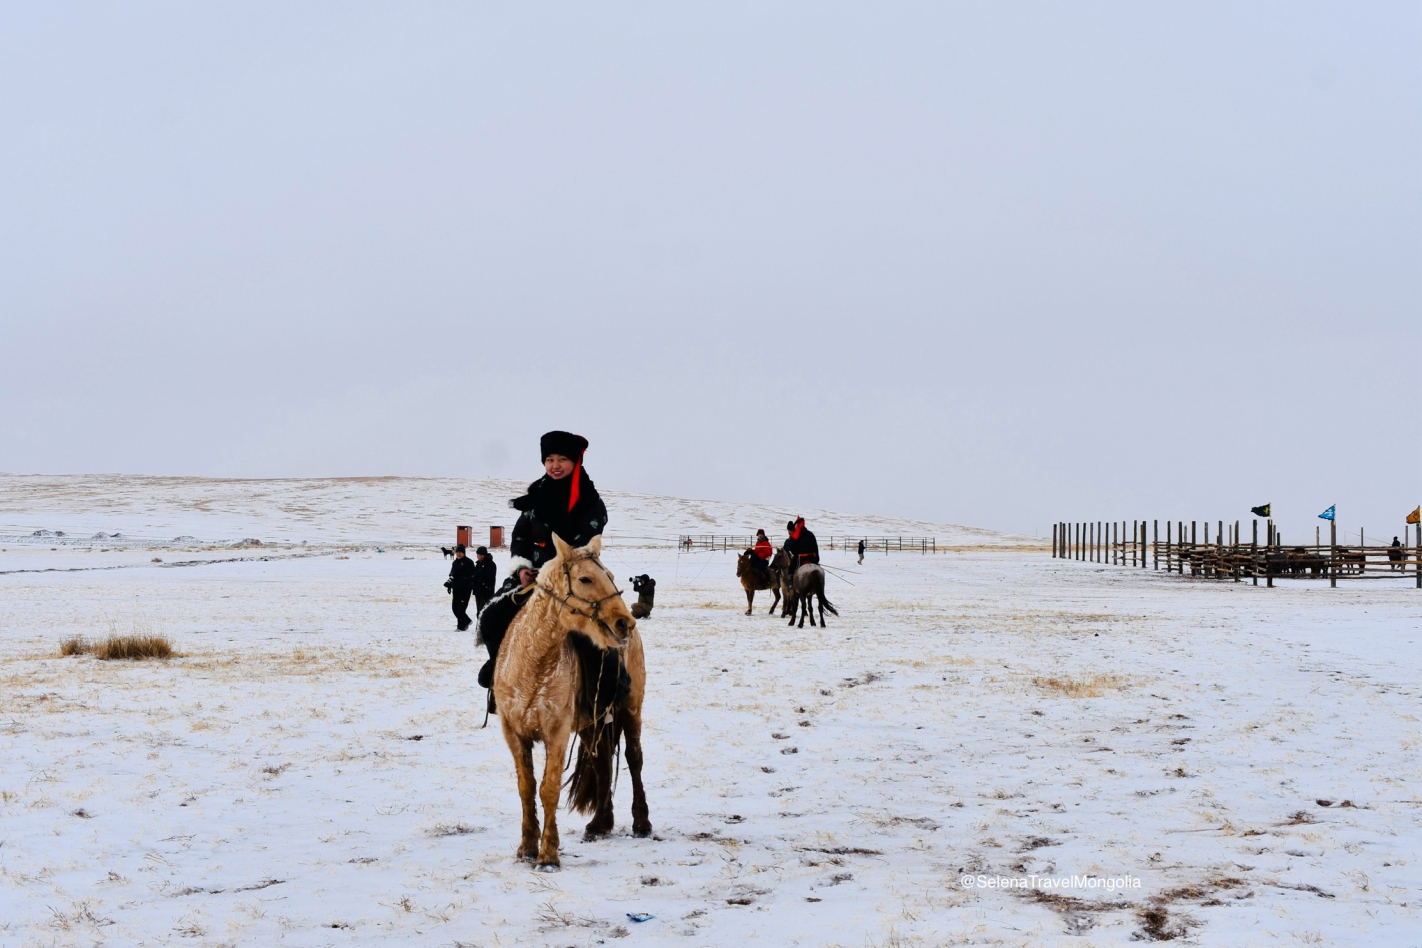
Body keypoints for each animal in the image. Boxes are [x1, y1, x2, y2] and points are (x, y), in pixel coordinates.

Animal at [494, 534, 651, 869]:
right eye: (585, 578)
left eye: (611, 576)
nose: (625, 623)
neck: (532, 663)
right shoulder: (513, 733)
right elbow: (526, 788)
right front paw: (527, 847)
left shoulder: (556, 731)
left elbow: (549, 788)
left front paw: (548, 855)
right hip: (593, 723)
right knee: (602, 761)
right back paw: (600, 824)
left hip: (631, 709)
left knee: (633, 759)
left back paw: (642, 823)